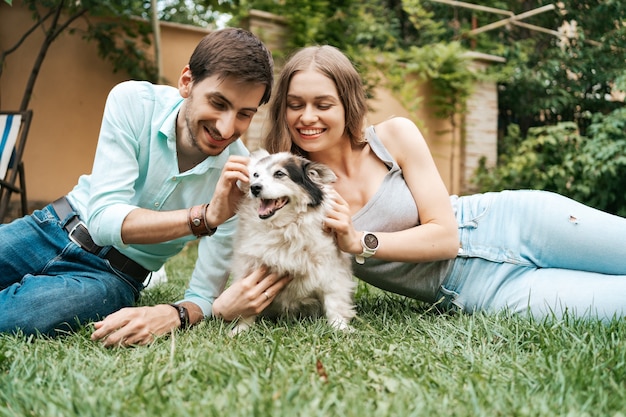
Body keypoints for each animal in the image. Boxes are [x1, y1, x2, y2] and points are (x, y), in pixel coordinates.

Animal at [229, 150, 356, 334]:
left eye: (279, 174)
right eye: (255, 175)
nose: (255, 187)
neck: (284, 228)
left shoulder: (331, 268)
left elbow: (333, 299)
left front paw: (339, 326)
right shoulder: (249, 269)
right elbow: (247, 306)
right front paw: (241, 329)